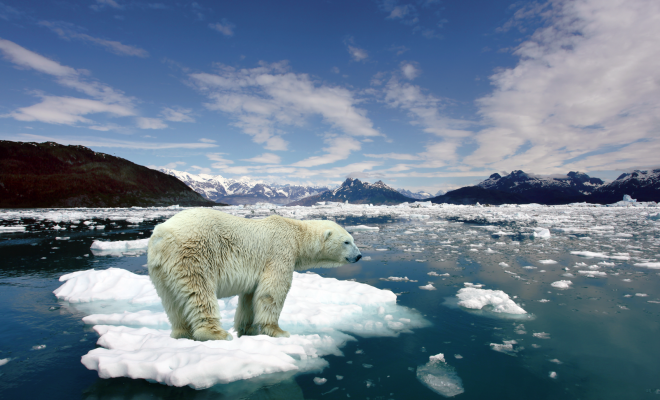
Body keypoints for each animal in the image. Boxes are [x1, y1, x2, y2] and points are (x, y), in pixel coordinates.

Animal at [147, 208, 360, 342]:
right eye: (347, 242)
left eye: (352, 239)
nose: (358, 256)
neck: (296, 234)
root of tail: (162, 235)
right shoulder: (280, 253)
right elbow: (272, 292)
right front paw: (278, 331)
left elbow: (250, 297)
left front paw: (247, 329)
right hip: (193, 255)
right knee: (199, 292)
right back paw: (217, 334)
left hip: (161, 269)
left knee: (172, 301)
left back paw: (181, 333)